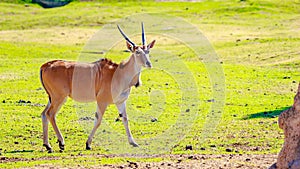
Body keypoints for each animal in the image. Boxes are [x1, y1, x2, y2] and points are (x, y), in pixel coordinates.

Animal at [39, 22, 156, 153]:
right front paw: (88, 144)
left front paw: (133, 142)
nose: (148, 64)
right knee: (50, 114)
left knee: (44, 114)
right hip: (59, 97)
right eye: (137, 52)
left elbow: (125, 119)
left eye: (148, 51)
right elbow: (98, 120)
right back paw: (61, 143)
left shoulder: (120, 102)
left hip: (53, 98)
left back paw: (47, 145)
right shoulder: (102, 101)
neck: (118, 73)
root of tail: (45, 66)